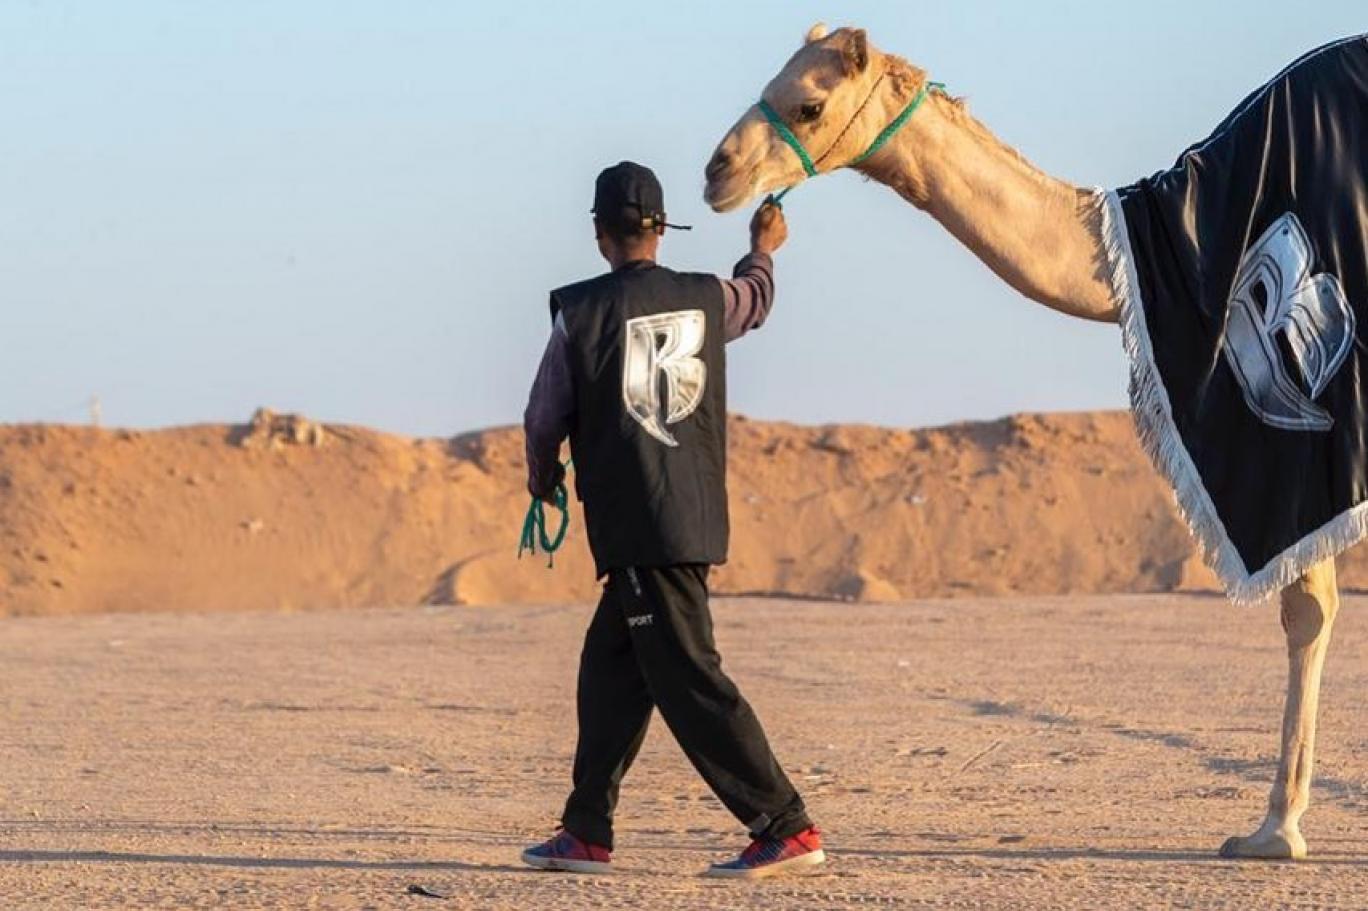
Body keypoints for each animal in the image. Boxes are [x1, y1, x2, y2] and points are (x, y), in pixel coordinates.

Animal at [702, 22, 1345, 861]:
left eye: (809, 103)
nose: (718, 171)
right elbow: (1309, 603)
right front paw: (1278, 824)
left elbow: (1308, 604)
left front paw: (1276, 830)